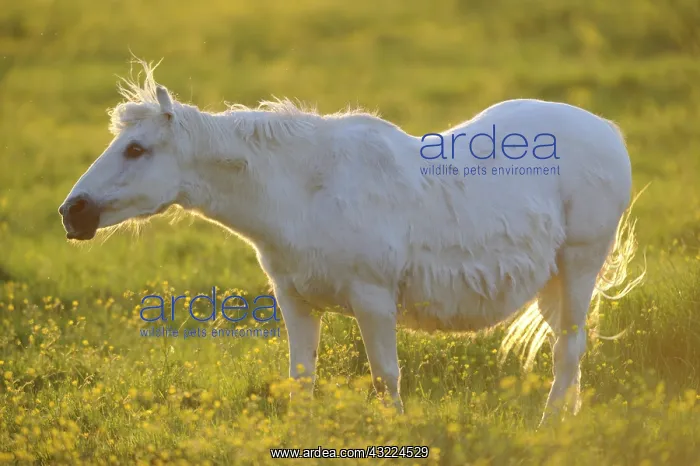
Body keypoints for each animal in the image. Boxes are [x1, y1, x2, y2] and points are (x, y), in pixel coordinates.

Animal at [59, 60, 644, 425]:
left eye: (136, 149)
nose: (72, 213)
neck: (306, 191)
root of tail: (608, 132)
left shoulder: (373, 300)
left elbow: (387, 378)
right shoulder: (295, 301)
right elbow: (302, 380)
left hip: (580, 263)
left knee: (568, 351)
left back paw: (549, 428)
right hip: (552, 280)